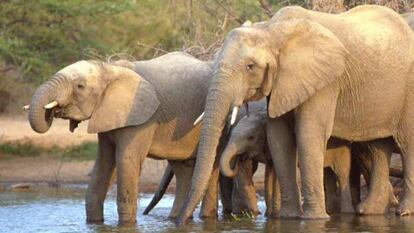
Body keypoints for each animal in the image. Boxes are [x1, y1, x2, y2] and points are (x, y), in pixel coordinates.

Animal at [26, 52, 228, 225]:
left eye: (80, 86)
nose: (53, 111)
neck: (110, 68)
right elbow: (103, 164)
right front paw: (94, 223)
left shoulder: (141, 118)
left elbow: (126, 161)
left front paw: (126, 225)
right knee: (182, 169)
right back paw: (176, 219)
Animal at [176, 5, 414, 224]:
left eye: (250, 67)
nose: (180, 222)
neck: (271, 30)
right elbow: (278, 136)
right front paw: (288, 218)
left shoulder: (325, 81)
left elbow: (309, 133)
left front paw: (315, 219)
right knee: (378, 146)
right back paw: (369, 211)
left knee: (405, 144)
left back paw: (403, 212)